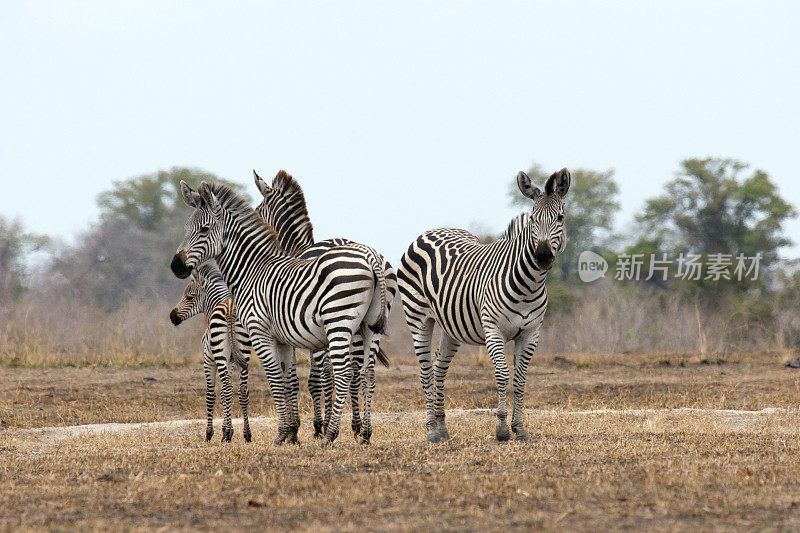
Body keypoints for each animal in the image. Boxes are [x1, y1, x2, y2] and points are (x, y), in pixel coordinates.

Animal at [170, 260, 253, 440]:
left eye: (189, 297)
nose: (172, 316)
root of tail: (230, 309)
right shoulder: (231, 361)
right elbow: (224, 394)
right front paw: (228, 428)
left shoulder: (209, 359)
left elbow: (211, 394)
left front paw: (212, 432)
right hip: (244, 353)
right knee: (242, 390)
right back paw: (247, 433)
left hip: (219, 356)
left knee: (228, 390)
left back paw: (226, 435)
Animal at [253, 171, 396, 440]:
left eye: (258, 210)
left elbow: (304, 379)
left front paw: (312, 425)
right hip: (365, 324)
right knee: (361, 372)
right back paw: (360, 427)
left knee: (334, 375)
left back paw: (331, 426)